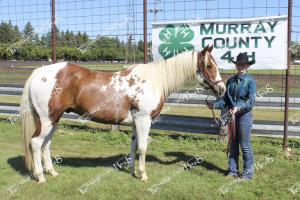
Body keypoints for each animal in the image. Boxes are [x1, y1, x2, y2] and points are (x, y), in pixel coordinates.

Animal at [20, 45, 225, 183]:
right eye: (209, 66)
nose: (222, 89)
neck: (153, 80)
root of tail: (39, 73)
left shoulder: (135, 122)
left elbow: (133, 146)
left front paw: (133, 172)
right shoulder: (143, 120)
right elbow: (143, 147)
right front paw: (144, 175)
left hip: (54, 119)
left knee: (46, 145)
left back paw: (52, 172)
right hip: (47, 120)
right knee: (36, 143)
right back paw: (41, 177)